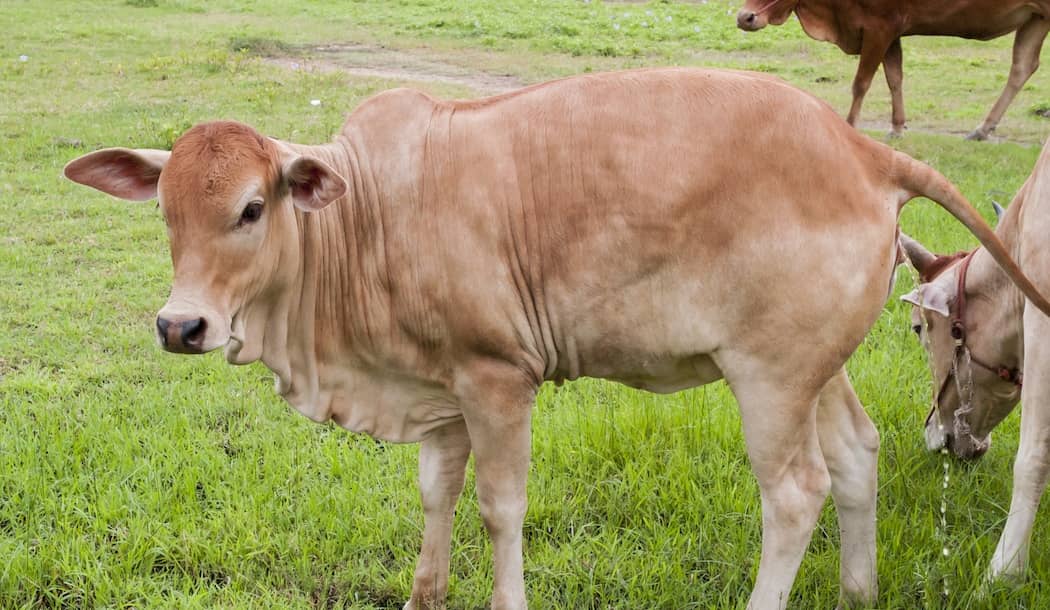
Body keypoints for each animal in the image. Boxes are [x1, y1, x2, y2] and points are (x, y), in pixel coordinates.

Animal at [735, 0, 1050, 140]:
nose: (744, 17)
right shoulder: (890, 32)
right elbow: (894, 78)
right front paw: (897, 126)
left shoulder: (880, 26)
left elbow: (861, 82)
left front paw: (850, 126)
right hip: (1035, 17)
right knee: (1022, 66)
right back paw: (983, 128)